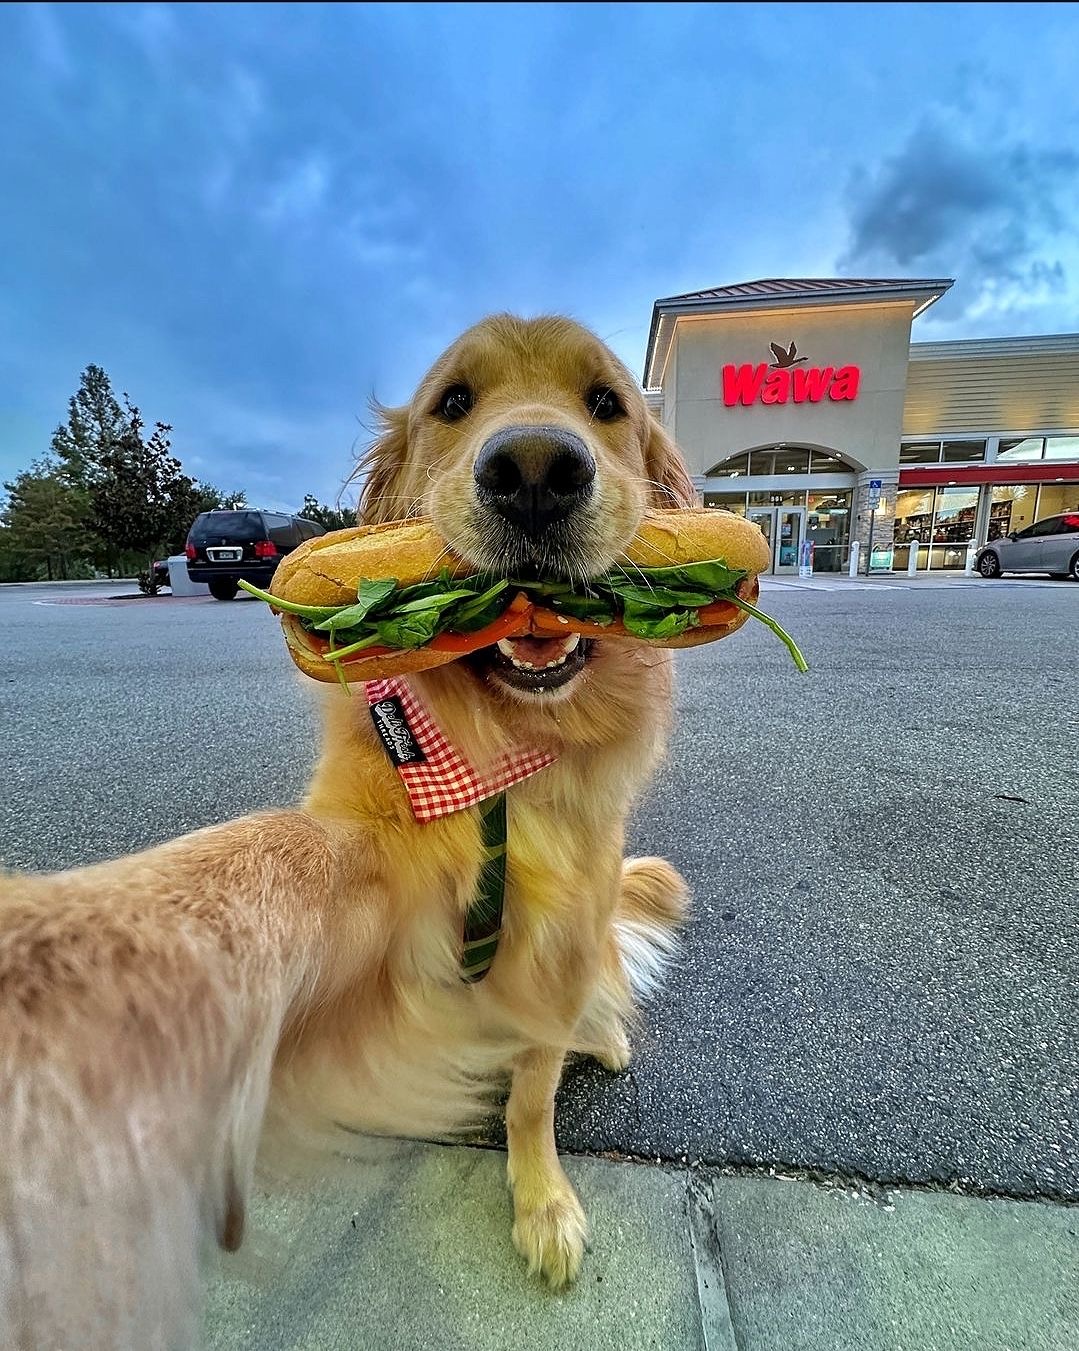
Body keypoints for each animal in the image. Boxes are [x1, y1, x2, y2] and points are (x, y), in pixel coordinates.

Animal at [0, 310, 691, 1345]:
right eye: (454, 401)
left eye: (606, 403)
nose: (533, 470)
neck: (494, 754)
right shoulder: (375, 884)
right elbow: (262, 856)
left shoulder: (562, 932)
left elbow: (532, 1094)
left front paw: (543, 1203)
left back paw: (600, 1033)